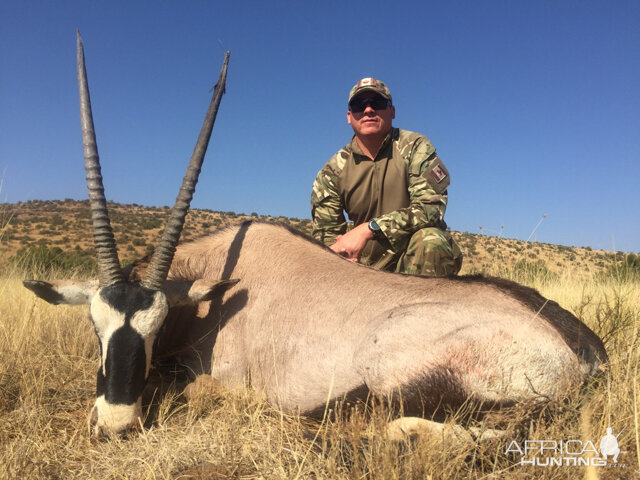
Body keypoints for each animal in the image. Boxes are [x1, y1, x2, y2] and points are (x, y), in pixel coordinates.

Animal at [23, 33, 604, 438]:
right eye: (95, 327)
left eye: (157, 326)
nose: (117, 423)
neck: (217, 286)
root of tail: (583, 352)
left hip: (396, 359)